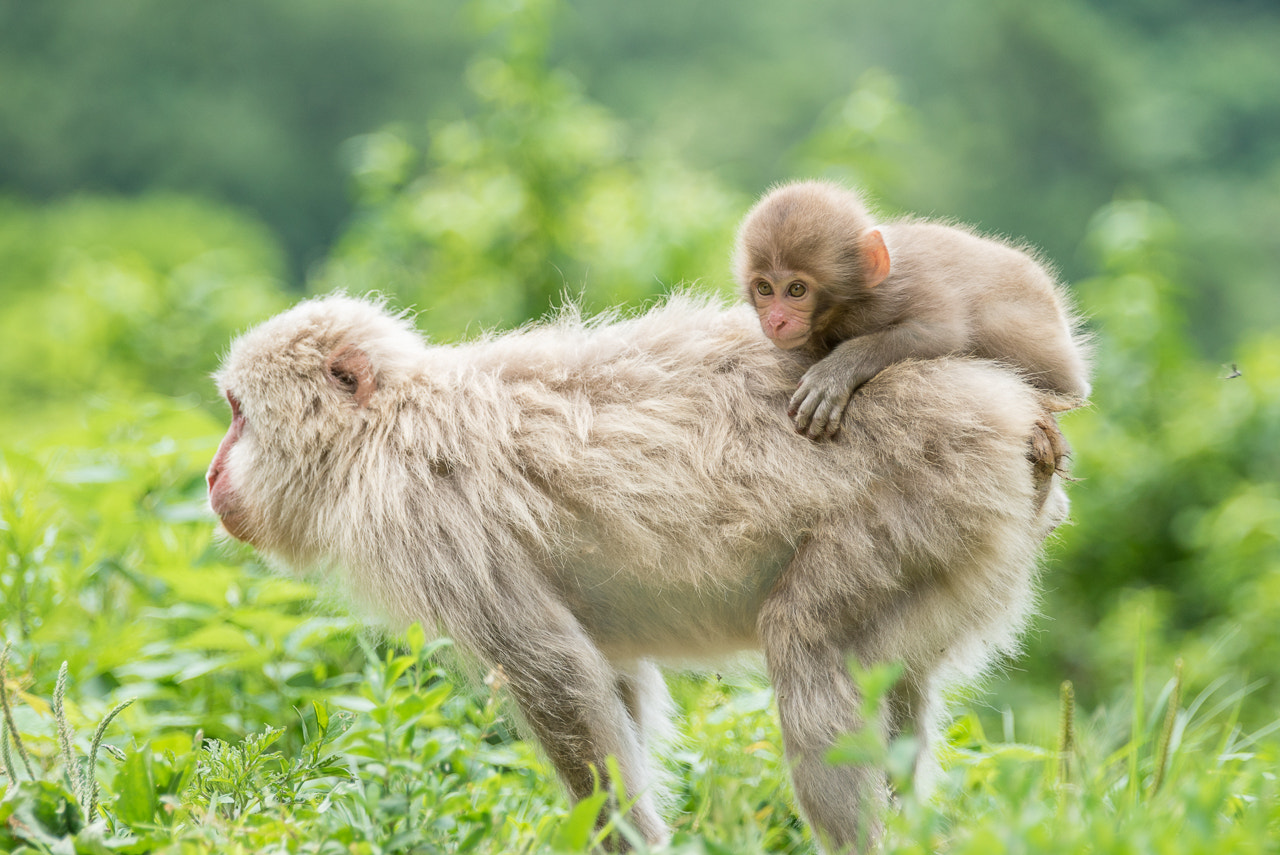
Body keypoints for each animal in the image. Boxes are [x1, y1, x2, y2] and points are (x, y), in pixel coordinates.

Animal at [207, 291, 1070, 849]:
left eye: (238, 414)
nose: (212, 471)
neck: (382, 428)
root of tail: (1018, 419)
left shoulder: (423, 515)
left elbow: (551, 671)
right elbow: (611, 678)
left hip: (923, 506)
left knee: (808, 641)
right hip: (967, 549)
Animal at [737, 176, 1085, 437]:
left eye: (796, 290)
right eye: (765, 289)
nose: (776, 321)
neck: (850, 306)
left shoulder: (906, 285)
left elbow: (943, 334)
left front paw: (837, 371)